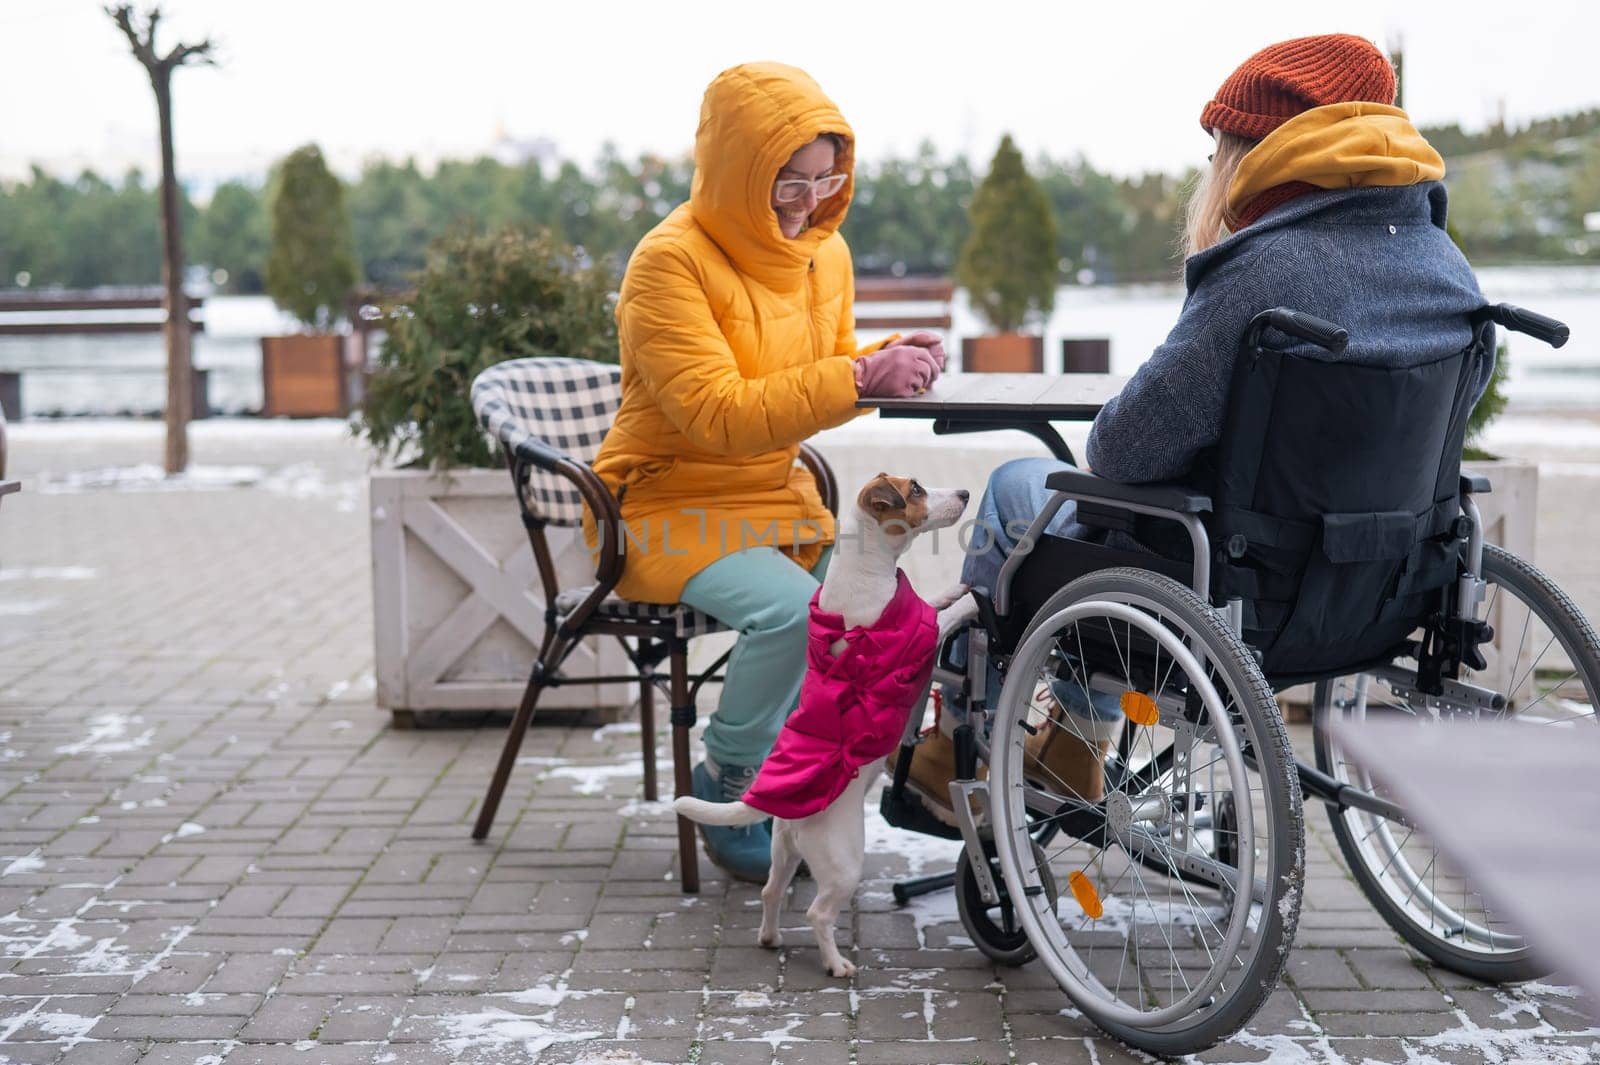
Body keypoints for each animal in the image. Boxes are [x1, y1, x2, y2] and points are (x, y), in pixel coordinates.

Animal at [675, 476, 972, 972]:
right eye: (915, 489)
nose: (967, 495)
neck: (863, 567)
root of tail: (789, 815)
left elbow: (931, 602)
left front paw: (956, 589)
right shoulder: (919, 638)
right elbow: (941, 616)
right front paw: (968, 602)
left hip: (783, 852)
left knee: (771, 890)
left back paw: (771, 937)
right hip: (844, 863)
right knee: (818, 913)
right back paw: (836, 964)